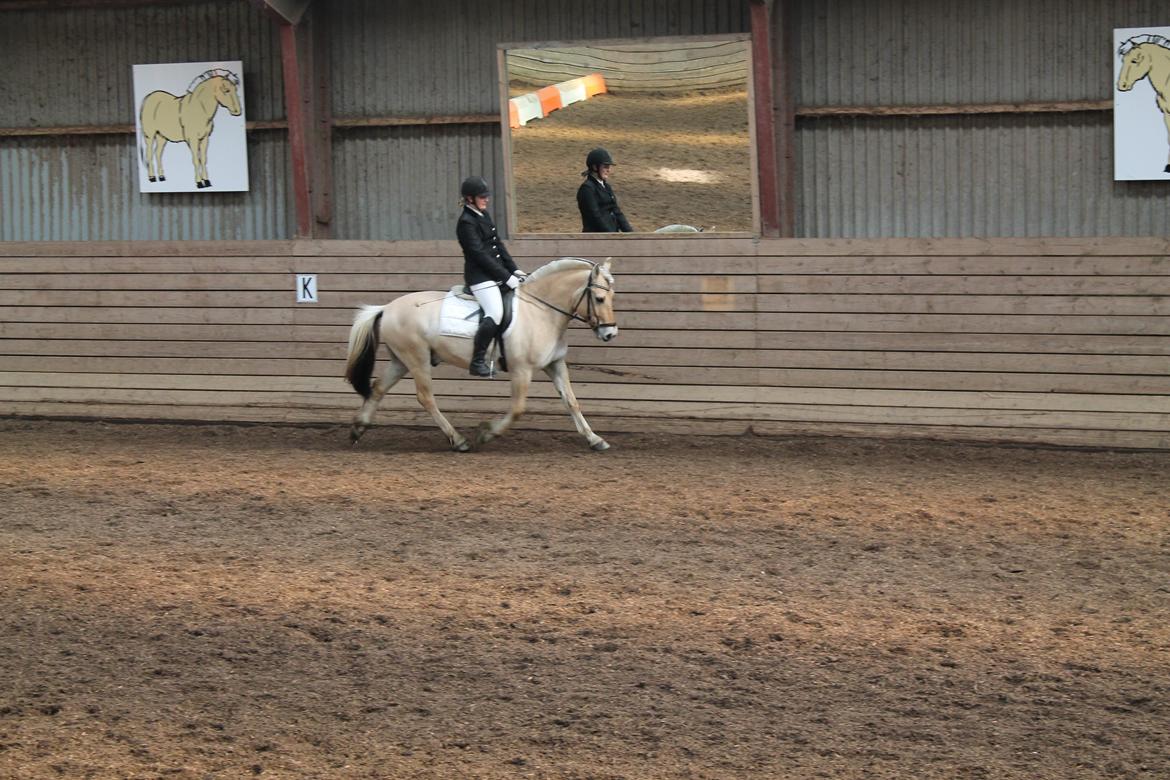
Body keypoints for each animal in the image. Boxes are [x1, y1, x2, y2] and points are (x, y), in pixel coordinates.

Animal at [343, 257, 622, 451]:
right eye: (599, 298)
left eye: (612, 297)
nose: (610, 334)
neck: (541, 310)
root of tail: (387, 307)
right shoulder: (522, 369)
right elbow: (518, 408)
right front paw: (486, 432)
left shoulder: (555, 364)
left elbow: (572, 402)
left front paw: (595, 439)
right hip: (417, 358)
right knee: (426, 397)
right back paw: (458, 440)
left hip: (401, 360)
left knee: (379, 388)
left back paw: (358, 428)